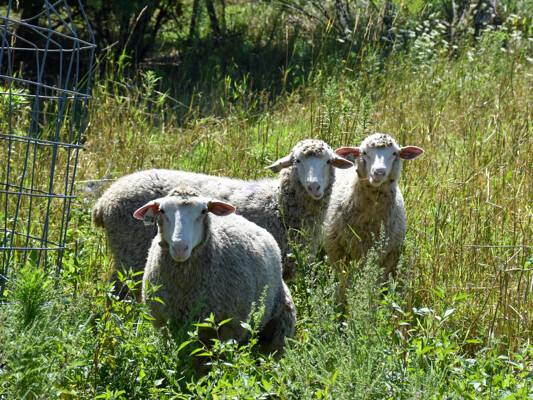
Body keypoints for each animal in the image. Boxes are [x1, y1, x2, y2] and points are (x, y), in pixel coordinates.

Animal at [92, 139, 353, 299]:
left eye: (328, 161)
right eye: (297, 161)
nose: (314, 187)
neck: (277, 203)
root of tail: (104, 201)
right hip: (130, 256)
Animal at [133, 187, 296, 359]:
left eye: (204, 211)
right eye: (162, 210)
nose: (179, 247)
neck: (184, 287)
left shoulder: (233, 326)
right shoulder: (160, 321)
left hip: (279, 328)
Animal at [323, 133, 424, 284]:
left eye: (394, 153)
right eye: (364, 153)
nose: (379, 172)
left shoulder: (388, 255)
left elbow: (377, 281)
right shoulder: (336, 251)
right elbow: (344, 281)